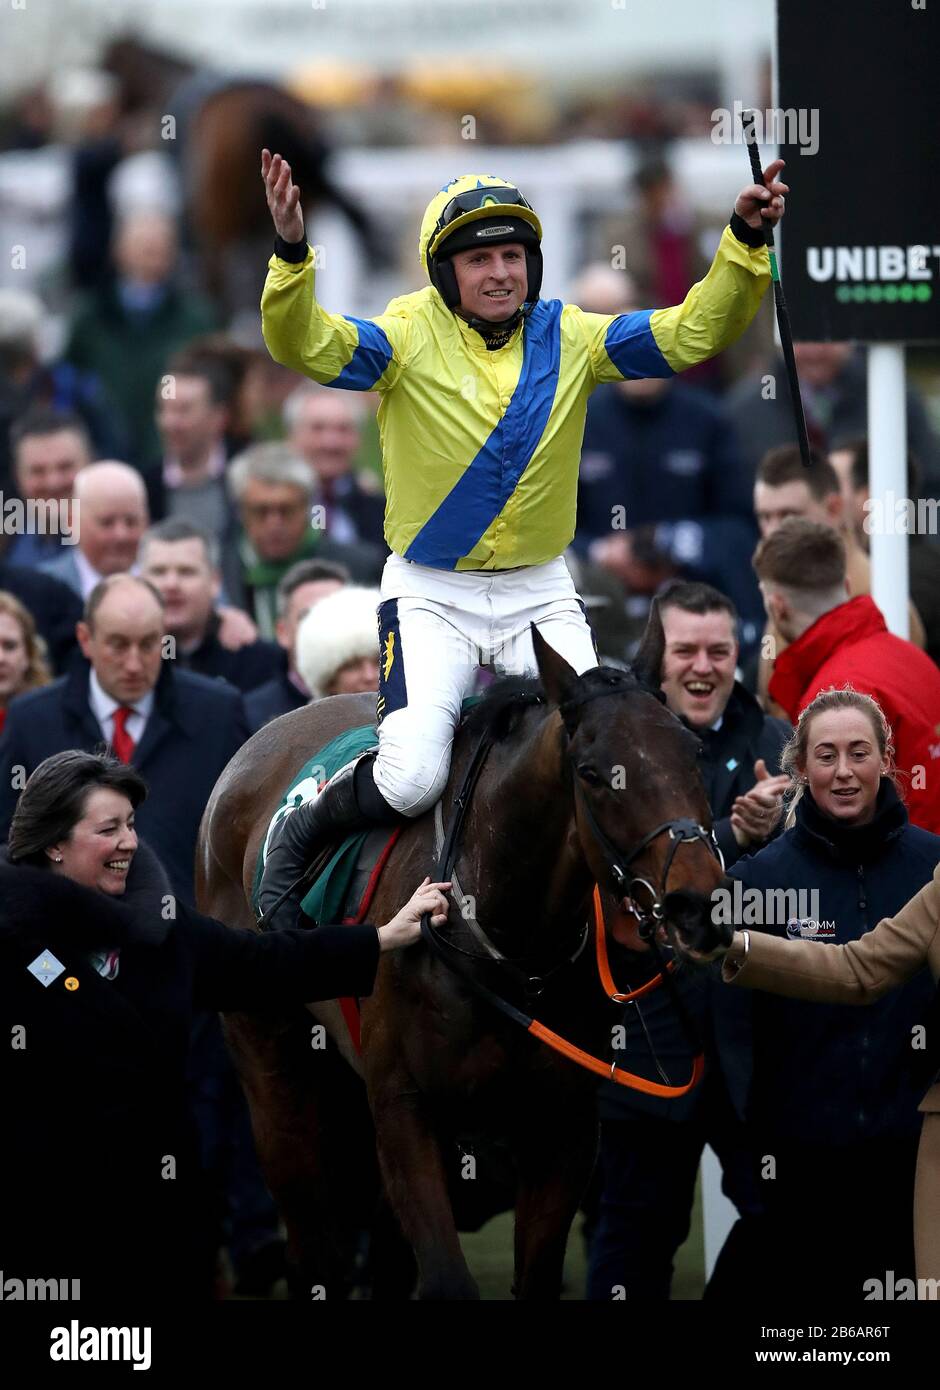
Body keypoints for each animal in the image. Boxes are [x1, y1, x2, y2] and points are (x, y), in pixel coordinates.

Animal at [198, 614, 723, 1295]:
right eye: (591, 773)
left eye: (694, 753)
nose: (695, 903)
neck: (511, 950)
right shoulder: (405, 1109)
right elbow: (447, 1278)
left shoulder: (565, 1126)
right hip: (269, 1062)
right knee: (315, 1247)